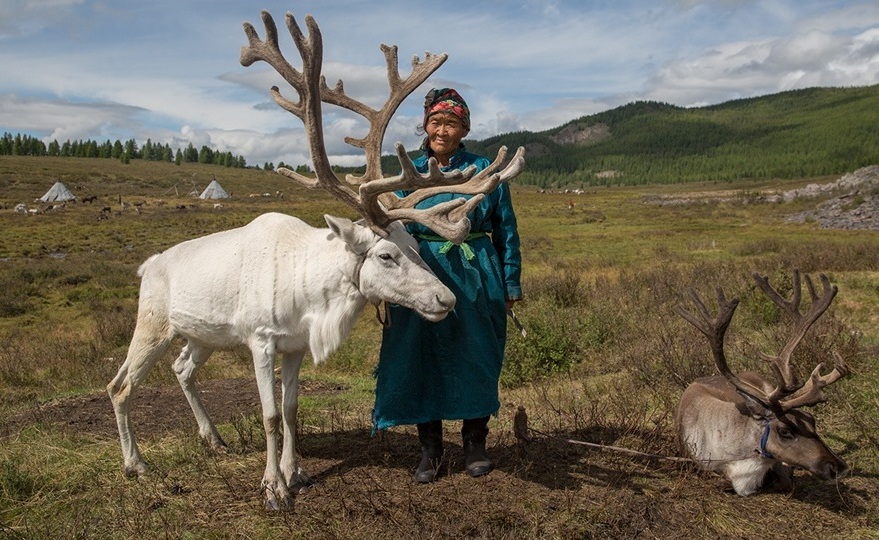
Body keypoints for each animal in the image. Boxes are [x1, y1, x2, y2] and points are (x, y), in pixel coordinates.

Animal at [106, 9, 525, 510]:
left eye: (416, 247)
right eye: (386, 255)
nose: (446, 299)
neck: (310, 293)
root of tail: (147, 265)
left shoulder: (295, 346)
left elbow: (290, 411)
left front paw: (296, 473)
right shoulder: (261, 341)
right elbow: (268, 415)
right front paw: (273, 488)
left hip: (203, 334)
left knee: (182, 369)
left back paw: (214, 440)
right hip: (152, 323)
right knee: (120, 385)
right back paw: (135, 464)